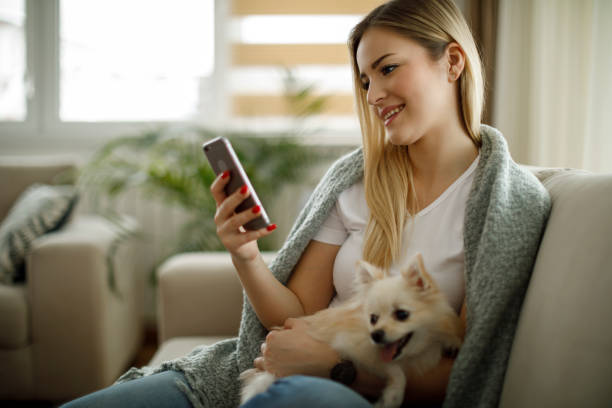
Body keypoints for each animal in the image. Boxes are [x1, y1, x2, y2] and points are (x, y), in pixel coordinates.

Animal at [240, 253, 464, 406]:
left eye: (402, 314)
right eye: (373, 319)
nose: (376, 334)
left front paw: (453, 341)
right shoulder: (356, 349)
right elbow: (395, 370)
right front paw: (393, 395)